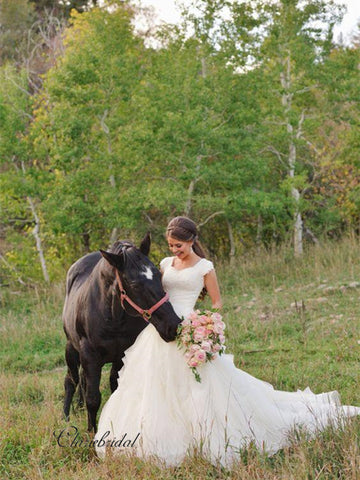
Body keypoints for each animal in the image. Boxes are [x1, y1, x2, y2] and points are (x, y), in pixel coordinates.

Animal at [62, 234, 180, 434]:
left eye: (159, 275)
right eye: (134, 284)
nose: (172, 326)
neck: (112, 317)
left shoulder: (122, 355)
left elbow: (115, 389)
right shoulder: (89, 356)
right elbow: (93, 399)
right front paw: (91, 433)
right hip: (72, 348)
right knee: (71, 380)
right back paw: (65, 417)